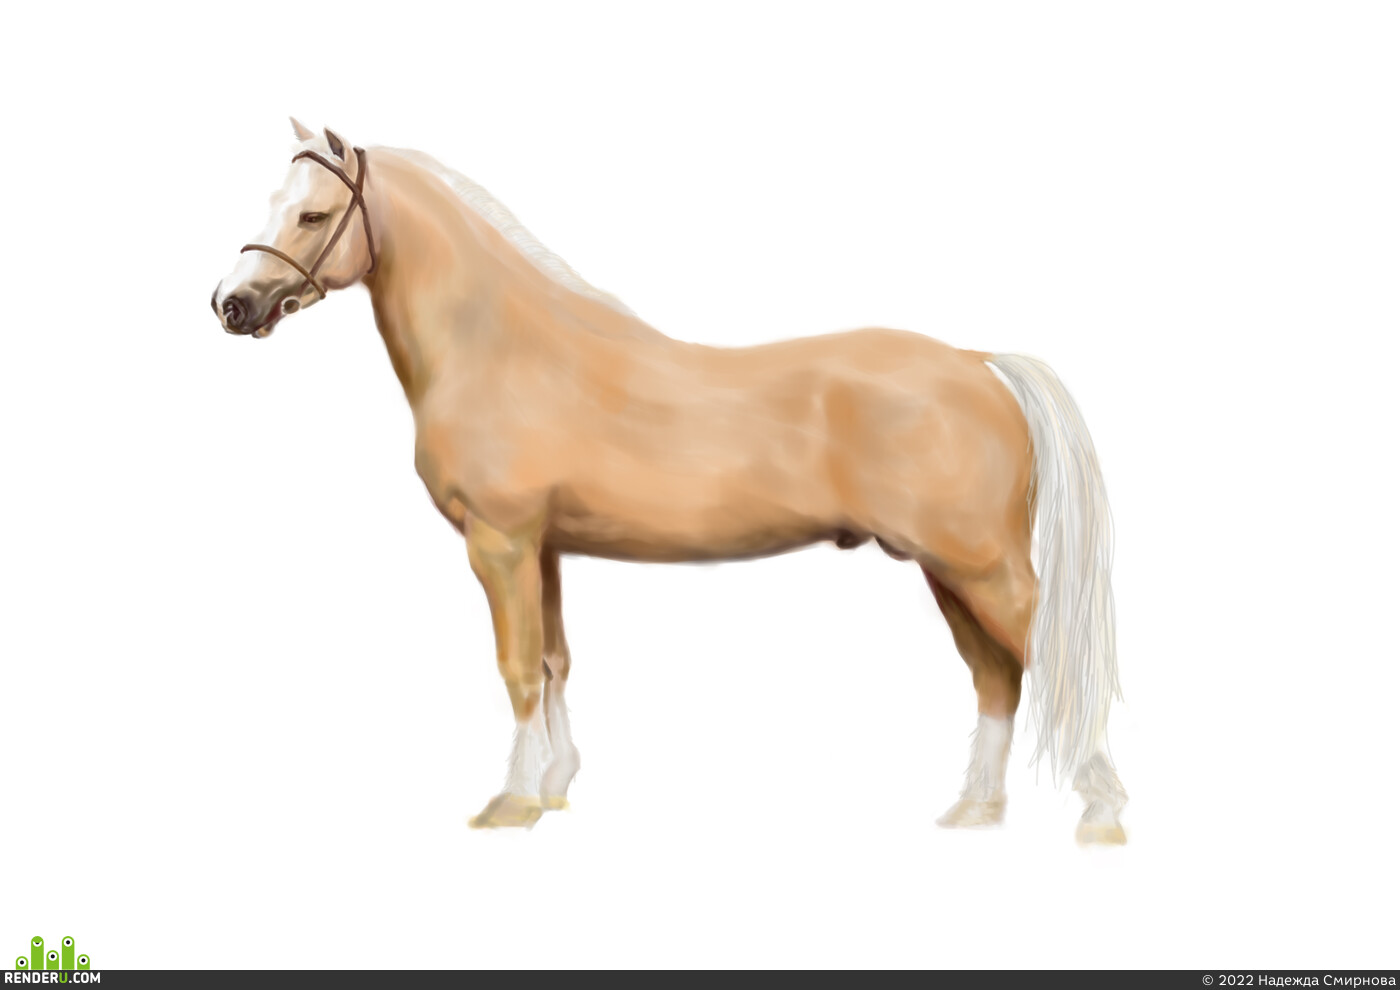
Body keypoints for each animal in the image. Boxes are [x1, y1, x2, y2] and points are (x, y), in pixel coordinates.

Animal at [211, 118, 1128, 844]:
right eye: (273, 200)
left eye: (313, 213)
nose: (231, 304)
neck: (503, 348)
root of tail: (977, 363)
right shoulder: (542, 549)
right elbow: (554, 662)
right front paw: (556, 787)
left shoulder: (499, 543)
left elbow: (517, 668)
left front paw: (511, 803)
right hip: (946, 570)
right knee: (994, 676)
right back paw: (975, 811)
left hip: (984, 567)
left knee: (1052, 658)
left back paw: (1100, 813)